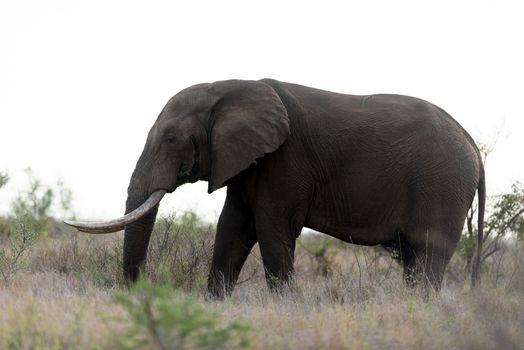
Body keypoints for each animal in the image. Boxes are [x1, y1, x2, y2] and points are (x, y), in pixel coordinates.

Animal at [66, 79, 488, 298]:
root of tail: (473, 146)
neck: (229, 88)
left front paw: (284, 305)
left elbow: (272, 228)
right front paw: (215, 304)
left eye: (171, 139)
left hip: (441, 183)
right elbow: (232, 229)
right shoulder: (246, 161)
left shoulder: (285, 161)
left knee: (427, 255)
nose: (136, 293)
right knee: (416, 260)